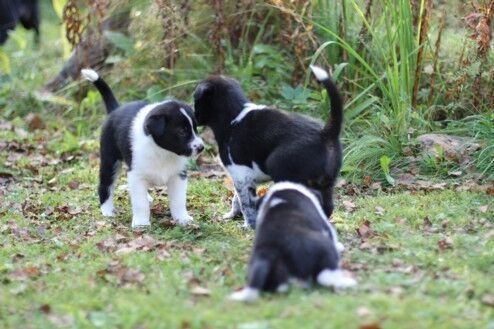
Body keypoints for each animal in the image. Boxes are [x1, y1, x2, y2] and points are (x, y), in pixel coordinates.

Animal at [81, 68, 205, 228]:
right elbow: (140, 203)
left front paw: (182, 219)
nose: (201, 147)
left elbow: (178, 201)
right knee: (105, 185)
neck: (163, 152)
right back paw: (107, 210)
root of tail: (116, 109)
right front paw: (141, 223)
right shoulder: (136, 174)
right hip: (110, 160)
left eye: (195, 128)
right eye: (182, 131)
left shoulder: (178, 176)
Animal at [194, 65, 344, 227]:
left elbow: (246, 204)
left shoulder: (241, 175)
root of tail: (325, 133)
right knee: (327, 206)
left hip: (279, 165)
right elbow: (237, 199)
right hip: (327, 183)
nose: (192, 116)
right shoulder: (243, 178)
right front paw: (232, 215)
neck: (233, 116)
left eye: (196, 100)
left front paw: (249, 225)